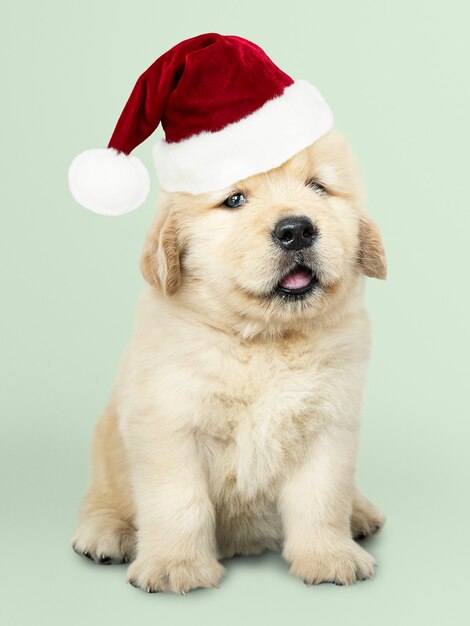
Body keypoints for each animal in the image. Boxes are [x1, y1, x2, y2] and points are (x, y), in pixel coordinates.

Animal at [70, 128, 386, 588]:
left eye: (318, 187)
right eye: (234, 199)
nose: (297, 230)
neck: (262, 339)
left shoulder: (328, 425)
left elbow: (322, 497)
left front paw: (329, 556)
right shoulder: (170, 425)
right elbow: (179, 502)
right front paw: (176, 566)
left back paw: (360, 513)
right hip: (105, 452)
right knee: (101, 498)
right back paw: (106, 533)